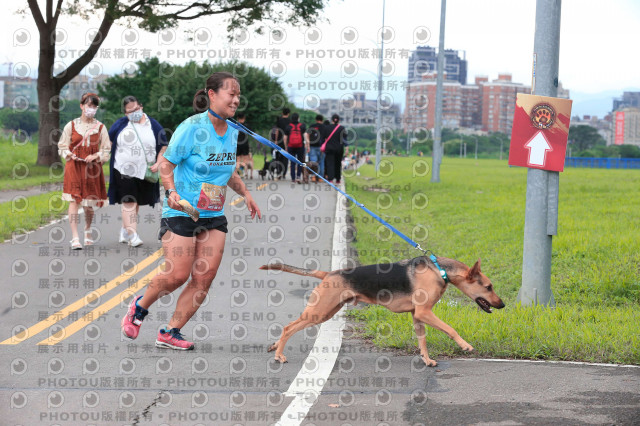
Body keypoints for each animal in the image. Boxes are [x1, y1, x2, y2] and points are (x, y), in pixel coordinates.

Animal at [260, 256, 504, 366]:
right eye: (488, 287)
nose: (502, 305)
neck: (440, 270)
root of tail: (329, 274)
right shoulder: (425, 312)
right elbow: (450, 329)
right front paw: (465, 346)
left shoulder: (418, 316)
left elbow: (423, 342)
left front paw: (426, 360)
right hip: (320, 312)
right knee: (288, 328)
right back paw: (279, 354)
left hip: (327, 310)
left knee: (291, 327)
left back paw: (274, 347)